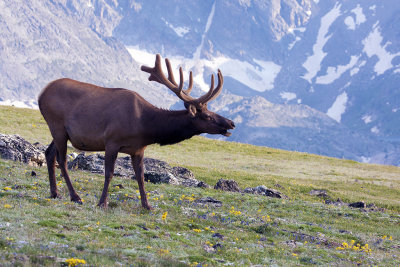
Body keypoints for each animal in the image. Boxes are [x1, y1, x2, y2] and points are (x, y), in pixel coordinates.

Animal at [38, 54, 234, 209]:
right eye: (207, 116)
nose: (231, 123)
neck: (145, 127)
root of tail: (41, 93)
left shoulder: (138, 149)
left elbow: (140, 176)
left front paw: (147, 205)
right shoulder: (111, 141)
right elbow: (109, 173)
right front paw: (102, 203)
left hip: (60, 132)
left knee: (49, 153)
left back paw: (55, 193)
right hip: (57, 125)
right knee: (62, 161)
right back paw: (75, 196)